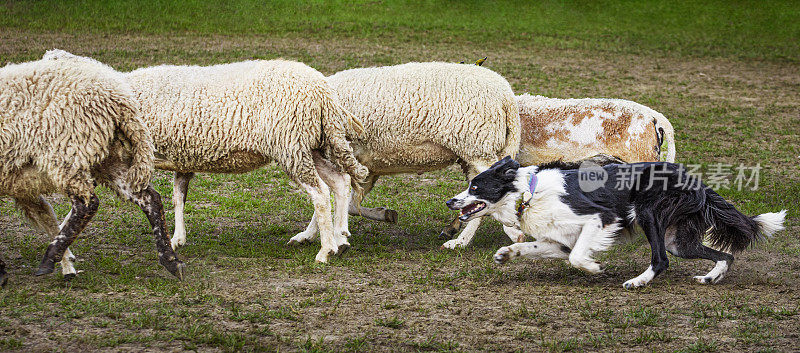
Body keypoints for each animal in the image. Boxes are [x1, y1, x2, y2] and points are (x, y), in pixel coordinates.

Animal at [0, 49, 184, 284]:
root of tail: (119, 100)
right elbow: (44, 214)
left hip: (67, 151)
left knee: (87, 204)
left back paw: (50, 258)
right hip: (107, 156)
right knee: (149, 198)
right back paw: (170, 260)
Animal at [124, 58, 368, 262]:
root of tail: (324, 92)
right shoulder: (183, 157)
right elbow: (178, 197)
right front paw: (177, 239)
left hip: (291, 145)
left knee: (320, 193)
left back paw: (325, 250)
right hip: (309, 145)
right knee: (340, 182)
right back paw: (340, 238)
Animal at [284, 61, 520, 248]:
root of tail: (506, 95)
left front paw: (314, 233)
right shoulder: (366, 164)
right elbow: (349, 203)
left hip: (478, 148)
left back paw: (462, 242)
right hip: (473, 154)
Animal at [444, 157, 788, 288]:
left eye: (475, 187)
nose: (450, 201)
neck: (527, 194)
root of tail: (697, 181)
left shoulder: (600, 217)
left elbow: (576, 257)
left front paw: (594, 268)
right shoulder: (557, 239)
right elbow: (533, 248)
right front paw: (506, 253)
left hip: (648, 214)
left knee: (661, 260)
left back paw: (638, 282)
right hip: (678, 241)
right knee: (725, 255)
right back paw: (711, 277)